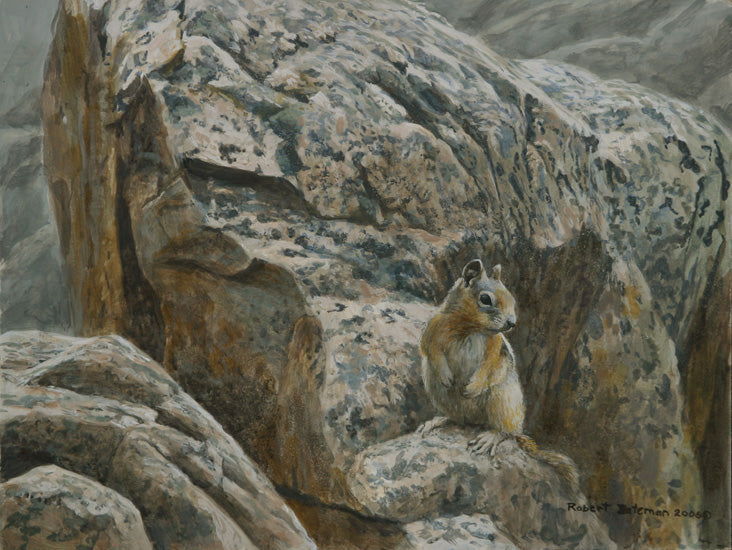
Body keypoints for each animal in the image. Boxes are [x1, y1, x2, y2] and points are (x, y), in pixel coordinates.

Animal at [419, 259, 579, 492]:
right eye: (486, 299)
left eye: (512, 298)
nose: (512, 323)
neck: (468, 328)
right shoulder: (432, 329)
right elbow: (431, 351)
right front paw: (446, 376)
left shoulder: (495, 347)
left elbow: (490, 365)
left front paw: (473, 387)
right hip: (440, 393)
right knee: (457, 418)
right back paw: (438, 420)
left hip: (502, 400)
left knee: (505, 431)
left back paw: (490, 437)